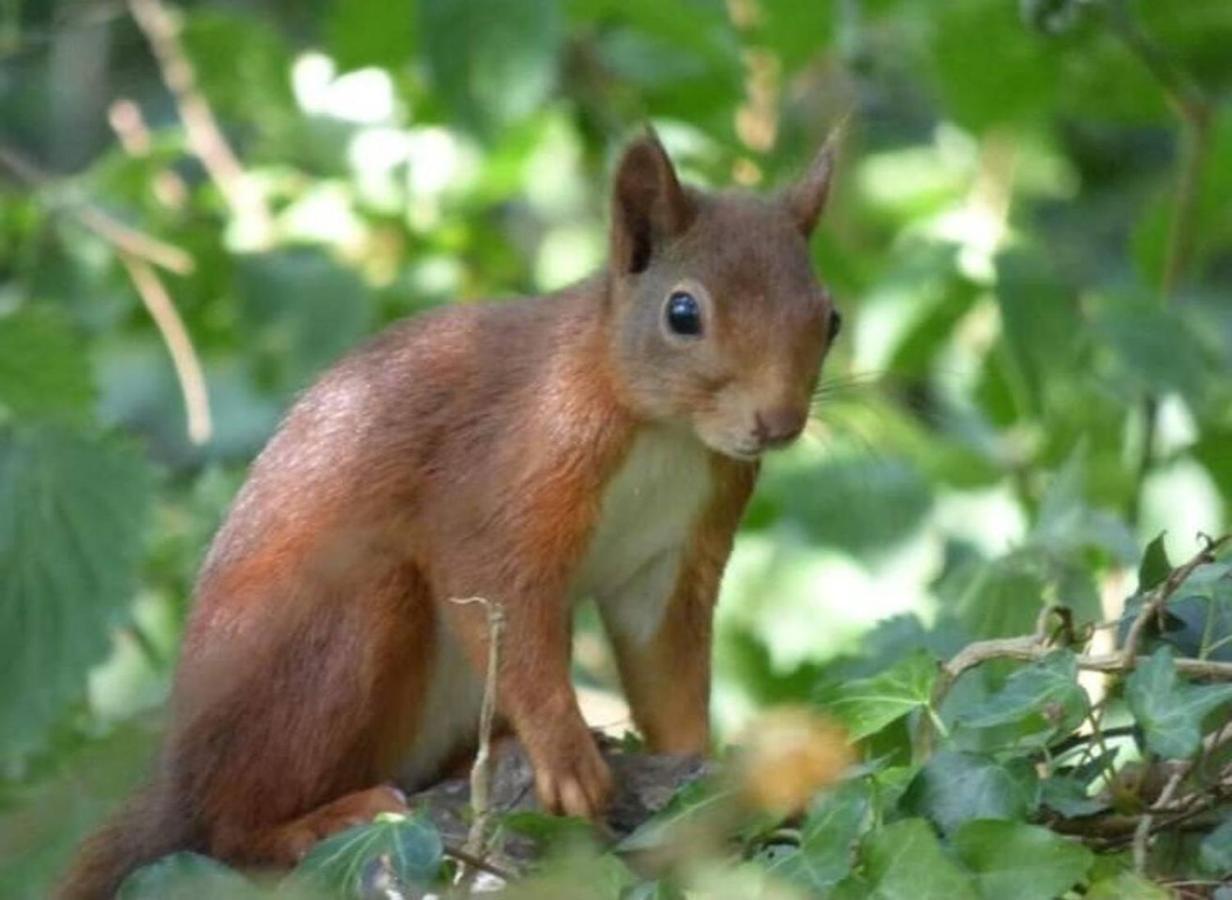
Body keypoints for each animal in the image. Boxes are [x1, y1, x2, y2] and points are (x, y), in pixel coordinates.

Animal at [62, 130, 842, 896]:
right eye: (683, 313)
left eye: (830, 318)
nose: (777, 423)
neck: (665, 429)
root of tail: (178, 776)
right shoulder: (504, 472)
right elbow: (497, 592)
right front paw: (566, 755)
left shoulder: (674, 556)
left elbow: (667, 668)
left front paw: (702, 777)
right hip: (334, 632)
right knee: (228, 828)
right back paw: (318, 821)